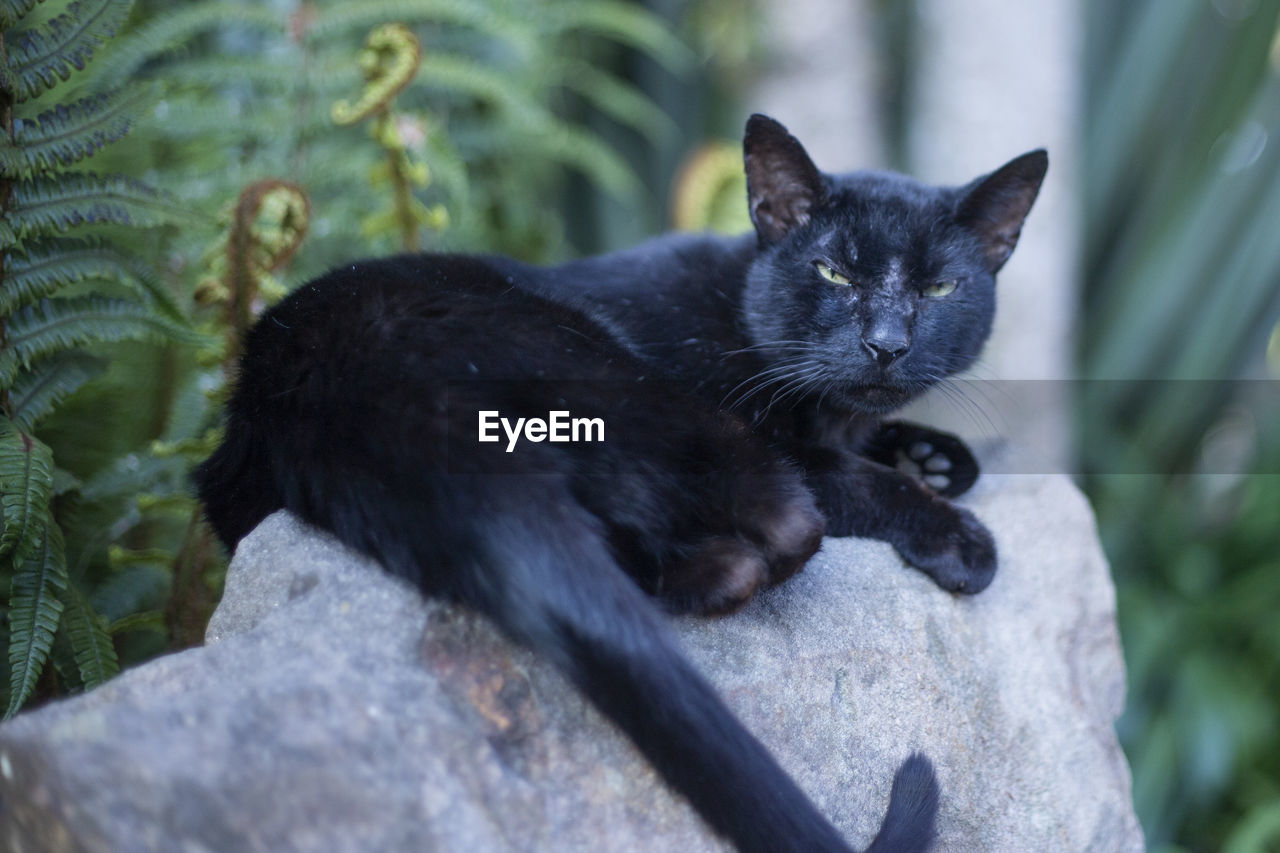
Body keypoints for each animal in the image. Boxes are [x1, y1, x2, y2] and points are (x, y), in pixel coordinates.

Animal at [194, 114, 1044, 850]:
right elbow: (852, 478)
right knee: (783, 529)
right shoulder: (758, 423)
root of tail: (325, 381)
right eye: (834, 272)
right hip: (631, 388)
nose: (886, 345)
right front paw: (954, 531)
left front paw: (933, 455)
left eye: (938, 290)